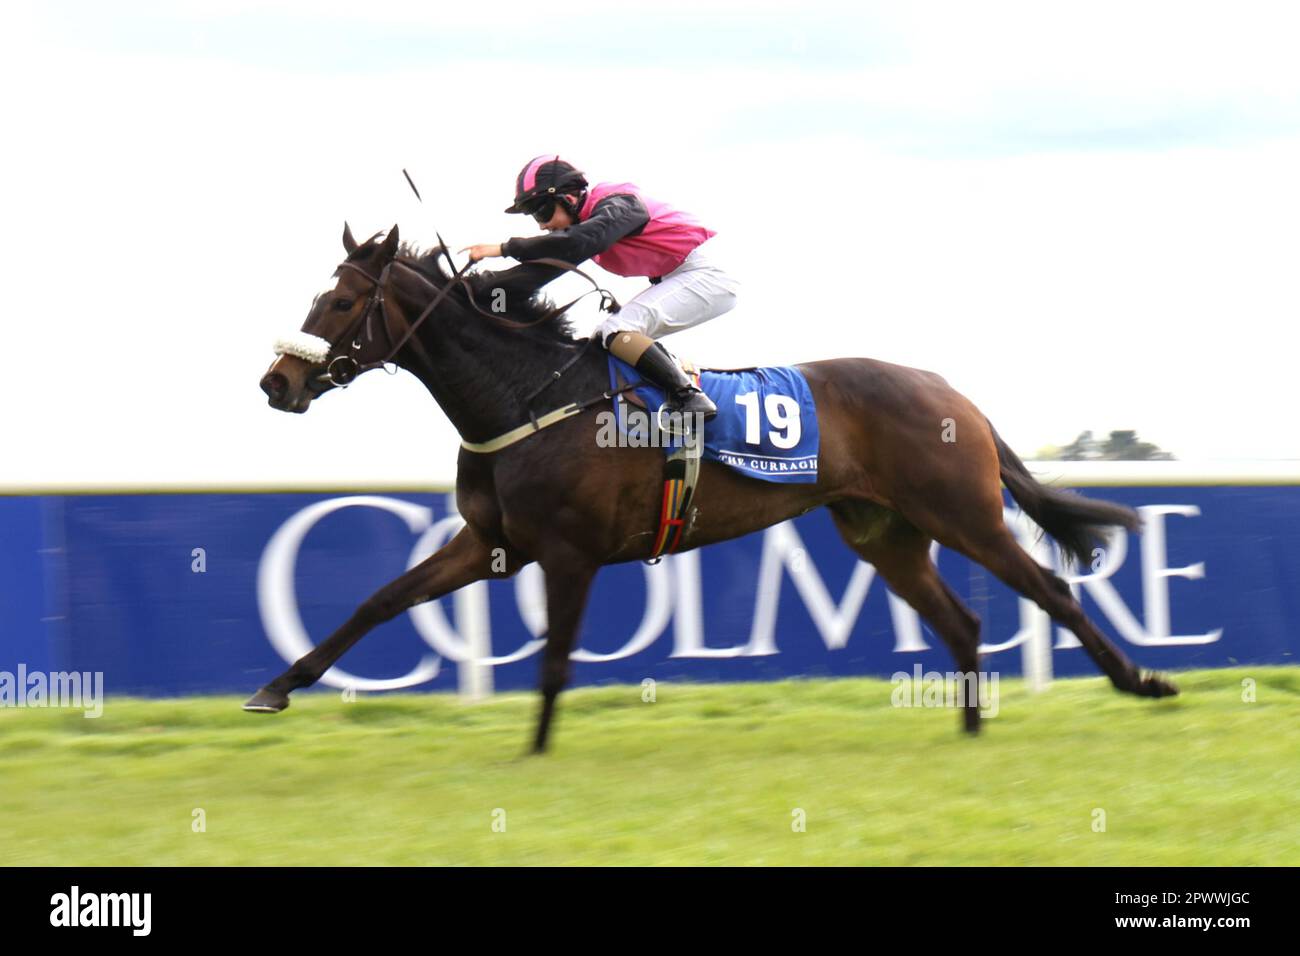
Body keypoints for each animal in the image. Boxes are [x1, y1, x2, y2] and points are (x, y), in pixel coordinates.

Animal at [250, 226, 1180, 754]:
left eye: (341, 301)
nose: (276, 385)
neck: (525, 395)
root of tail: (951, 393)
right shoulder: (491, 544)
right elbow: (379, 602)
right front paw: (276, 688)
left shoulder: (571, 552)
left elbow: (554, 658)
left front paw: (537, 752)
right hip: (884, 535)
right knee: (964, 620)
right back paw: (971, 727)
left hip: (963, 513)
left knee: (1050, 589)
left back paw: (1142, 683)